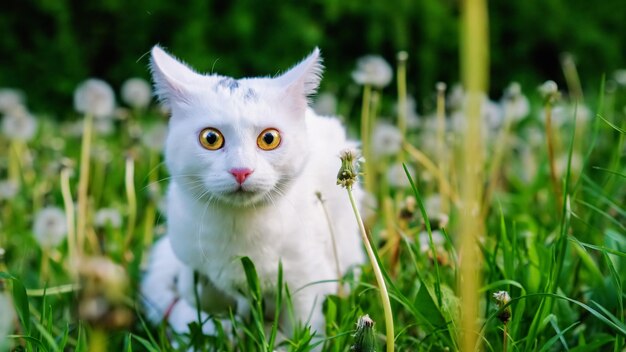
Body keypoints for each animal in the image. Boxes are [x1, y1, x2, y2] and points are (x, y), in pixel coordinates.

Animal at [140, 46, 366, 340]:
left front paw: (289, 338)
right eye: (210, 138)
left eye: (269, 139)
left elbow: (305, 327)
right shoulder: (188, 255)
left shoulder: (307, 278)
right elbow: (197, 295)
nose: (241, 170)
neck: (239, 227)